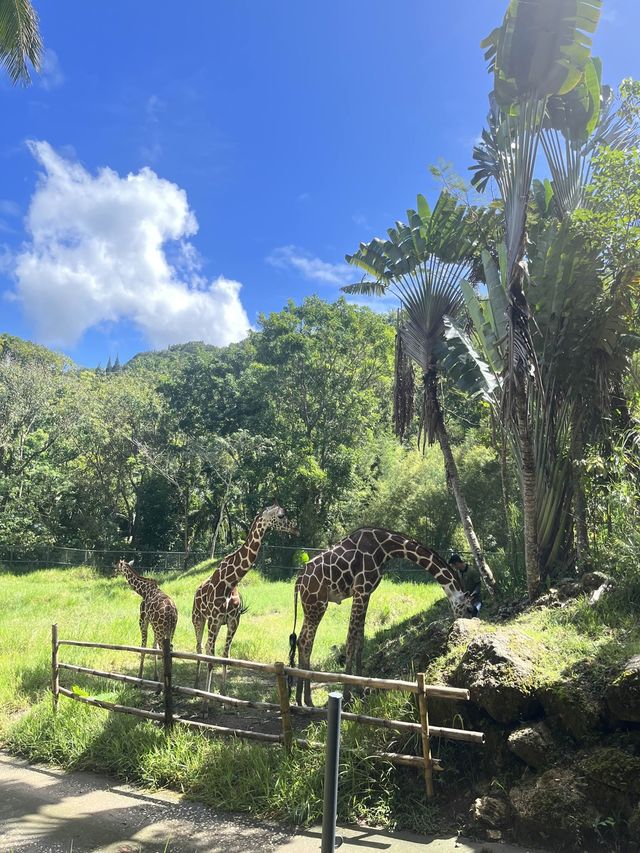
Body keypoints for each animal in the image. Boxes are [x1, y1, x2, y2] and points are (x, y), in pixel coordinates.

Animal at [191, 502, 298, 696]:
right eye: (281, 515)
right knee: (200, 647)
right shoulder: (214, 621)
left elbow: (226, 656)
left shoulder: (233, 622)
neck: (229, 583)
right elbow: (211, 658)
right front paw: (207, 700)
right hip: (198, 619)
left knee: (205, 649)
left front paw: (223, 694)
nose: (296, 529)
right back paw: (196, 684)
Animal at [290, 524, 480, 704]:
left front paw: (360, 692)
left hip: (310, 607)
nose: (466, 627)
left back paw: (299, 699)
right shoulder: (360, 591)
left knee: (300, 640)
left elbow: (360, 641)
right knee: (306, 642)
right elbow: (351, 641)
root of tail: (299, 580)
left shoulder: (367, 593)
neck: (385, 548)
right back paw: (308, 700)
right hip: (317, 604)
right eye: (469, 609)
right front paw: (347, 695)